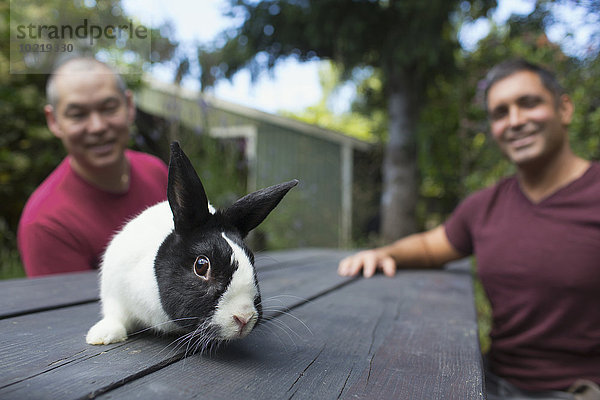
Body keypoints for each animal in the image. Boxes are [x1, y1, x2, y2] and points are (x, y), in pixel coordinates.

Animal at [86, 142, 298, 348]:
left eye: (252, 260)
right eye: (201, 265)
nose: (244, 317)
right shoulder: (114, 289)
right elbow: (115, 315)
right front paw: (101, 336)